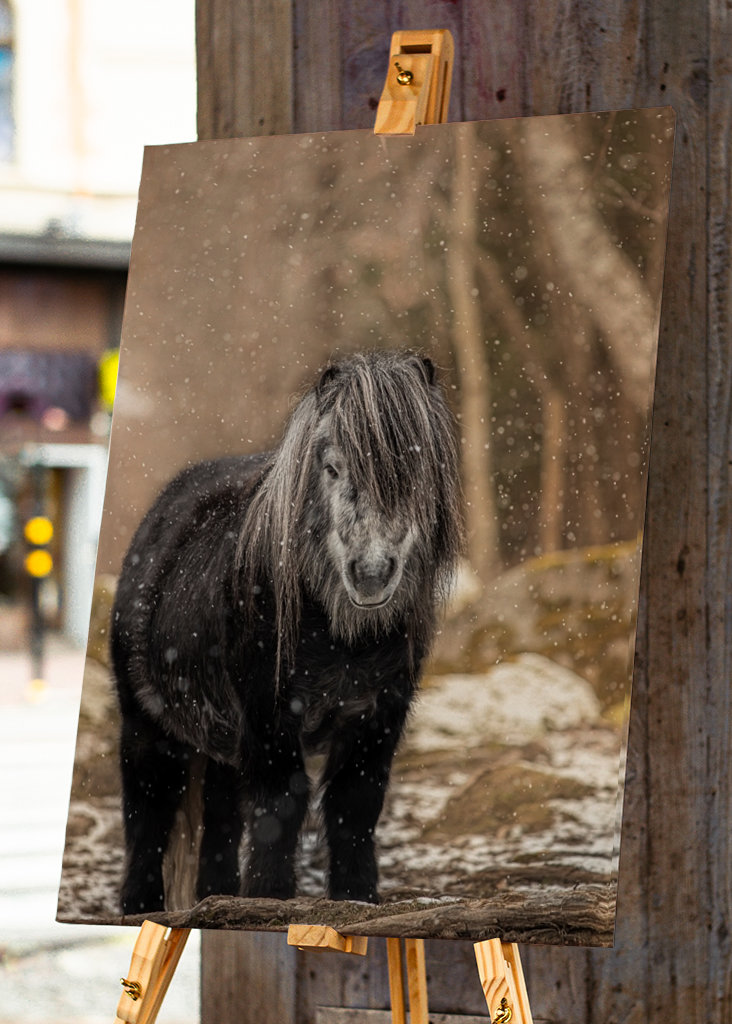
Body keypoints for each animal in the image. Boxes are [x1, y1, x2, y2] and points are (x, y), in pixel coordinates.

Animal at [111, 350, 463, 913]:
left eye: (417, 469)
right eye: (332, 467)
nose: (371, 574)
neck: (341, 639)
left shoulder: (377, 716)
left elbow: (354, 807)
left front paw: (356, 900)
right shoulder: (269, 717)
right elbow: (281, 806)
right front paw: (270, 898)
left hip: (221, 744)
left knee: (220, 817)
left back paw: (215, 898)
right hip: (147, 728)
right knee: (148, 814)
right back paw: (140, 906)